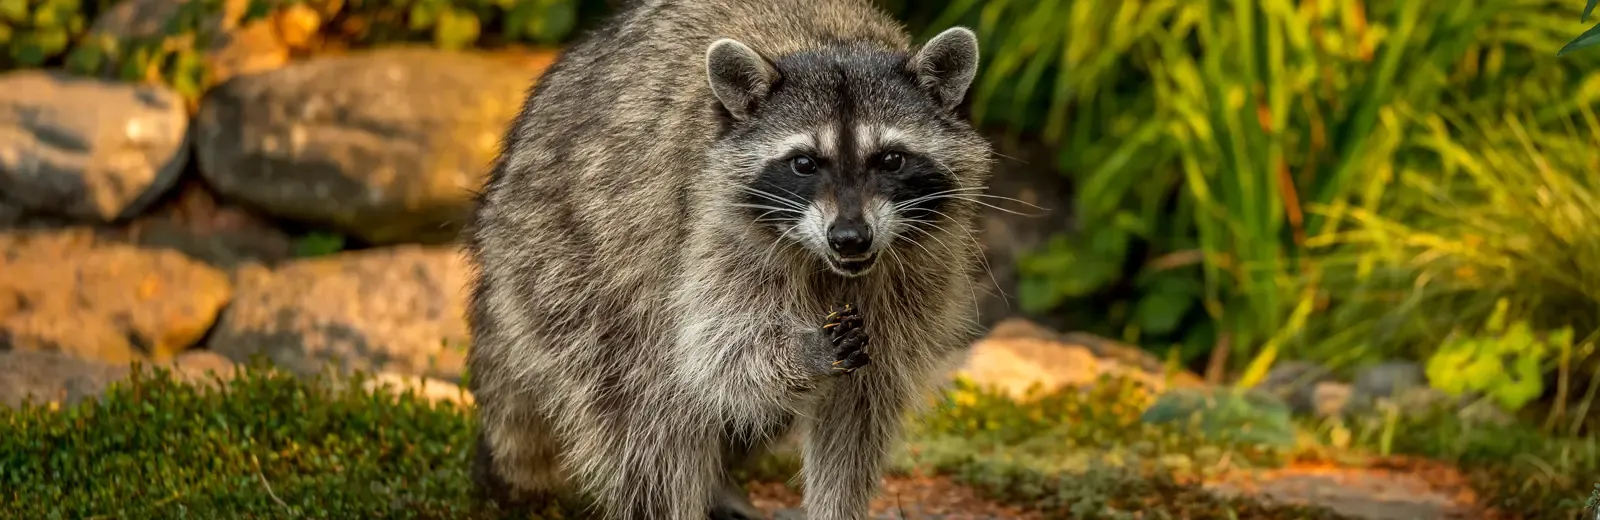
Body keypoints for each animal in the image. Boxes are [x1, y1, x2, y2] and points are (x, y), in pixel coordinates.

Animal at [457, 2, 992, 515]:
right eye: (803, 163)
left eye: (891, 160)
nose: (850, 238)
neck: (831, 44)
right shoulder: (711, 226)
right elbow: (716, 356)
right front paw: (804, 352)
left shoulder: (920, 266)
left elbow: (859, 412)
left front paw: (837, 506)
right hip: (573, 264)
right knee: (646, 405)